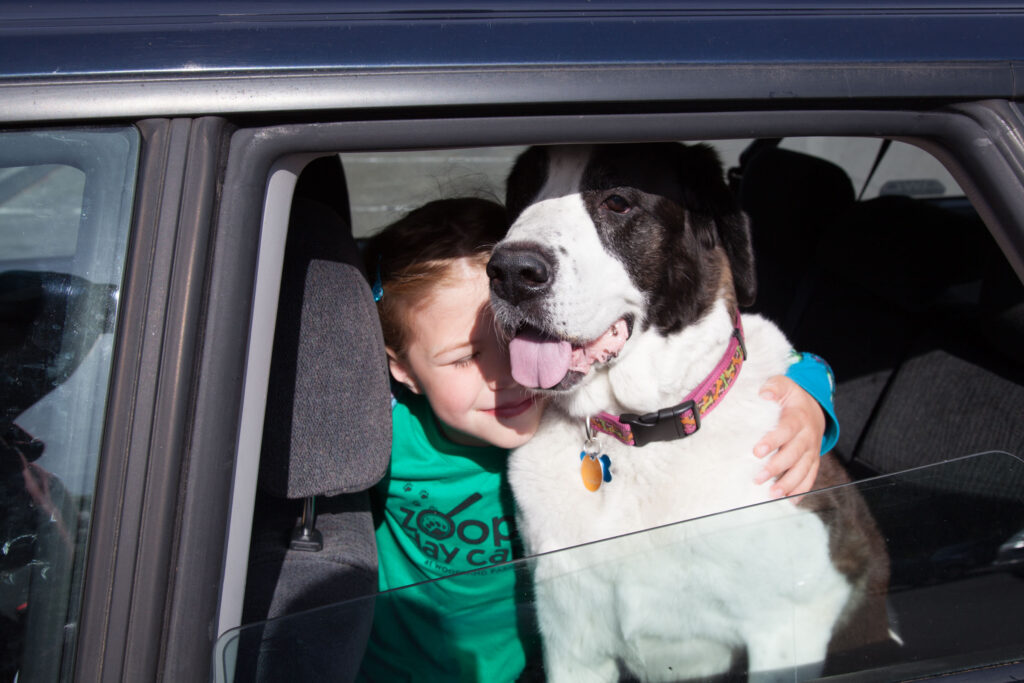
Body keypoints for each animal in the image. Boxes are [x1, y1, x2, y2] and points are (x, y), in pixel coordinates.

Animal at [485, 141, 888, 679]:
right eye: (523, 196)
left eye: (617, 201)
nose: (511, 272)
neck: (640, 435)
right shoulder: (571, 638)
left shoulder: (791, 625)